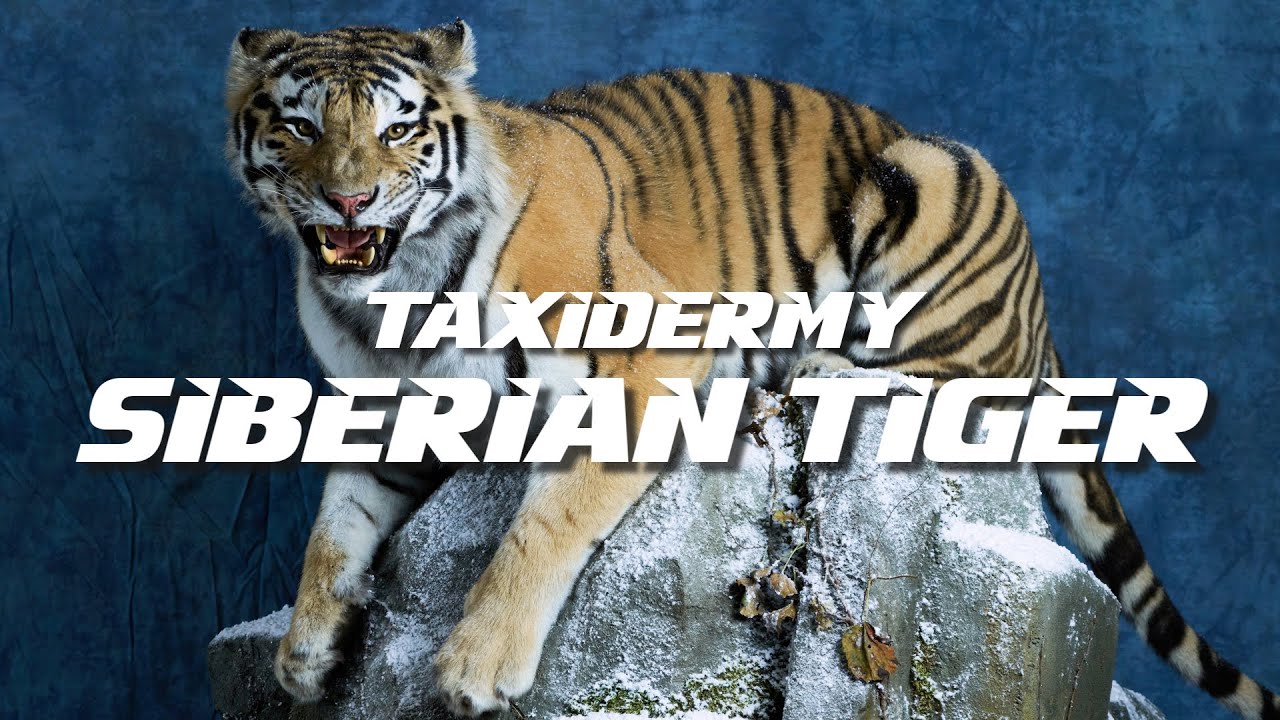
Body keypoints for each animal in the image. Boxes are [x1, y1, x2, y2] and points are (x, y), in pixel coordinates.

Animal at [223, 20, 1276, 719]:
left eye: (398, 129)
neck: (393, 289)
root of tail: (1043, 308)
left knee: (940, 381)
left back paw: (814, 362)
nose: (350, 200)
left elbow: (542, 523)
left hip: (935, 177)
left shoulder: (645, 362)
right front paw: (307, 653)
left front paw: (476, 666)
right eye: (301, 126)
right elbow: (333, 526)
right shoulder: (399, 411)